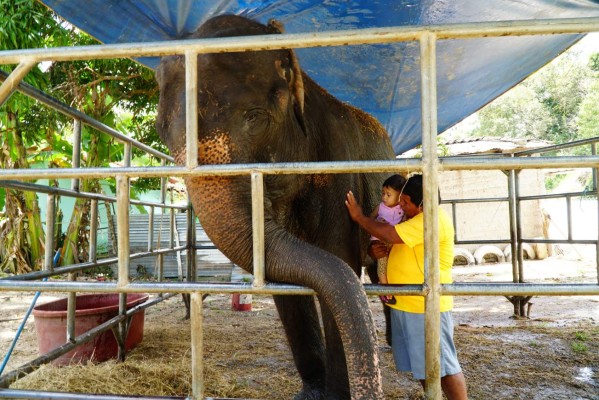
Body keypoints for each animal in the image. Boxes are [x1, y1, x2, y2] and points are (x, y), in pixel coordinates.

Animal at [157, 14, 396, 398]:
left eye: (255, 118)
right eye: (160, 134)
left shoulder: (337, 164)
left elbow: (339, 261)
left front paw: (335, 393)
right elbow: (285, 279)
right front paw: (312, 391)